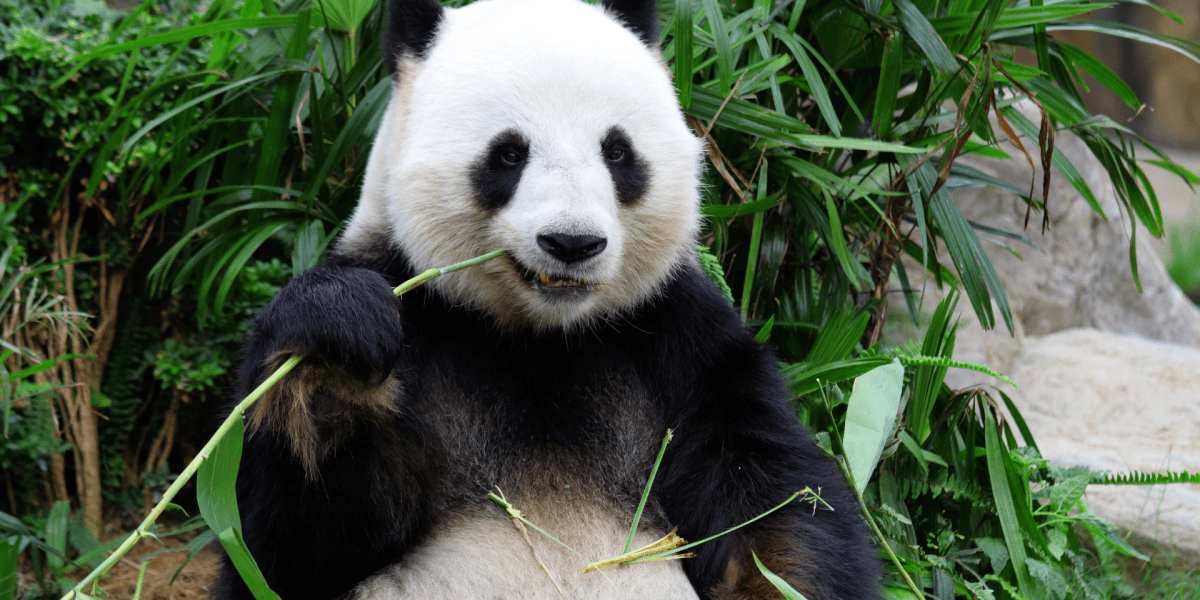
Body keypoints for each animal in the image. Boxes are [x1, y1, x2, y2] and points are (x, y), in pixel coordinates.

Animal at [214, 0, 880, 598]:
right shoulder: (416, 310)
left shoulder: (678, 338)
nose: (572, 242)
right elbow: (292, 544)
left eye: (617, 151)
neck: (541, 337)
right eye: (509, 153)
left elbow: (771, 502)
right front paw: (338, 340)